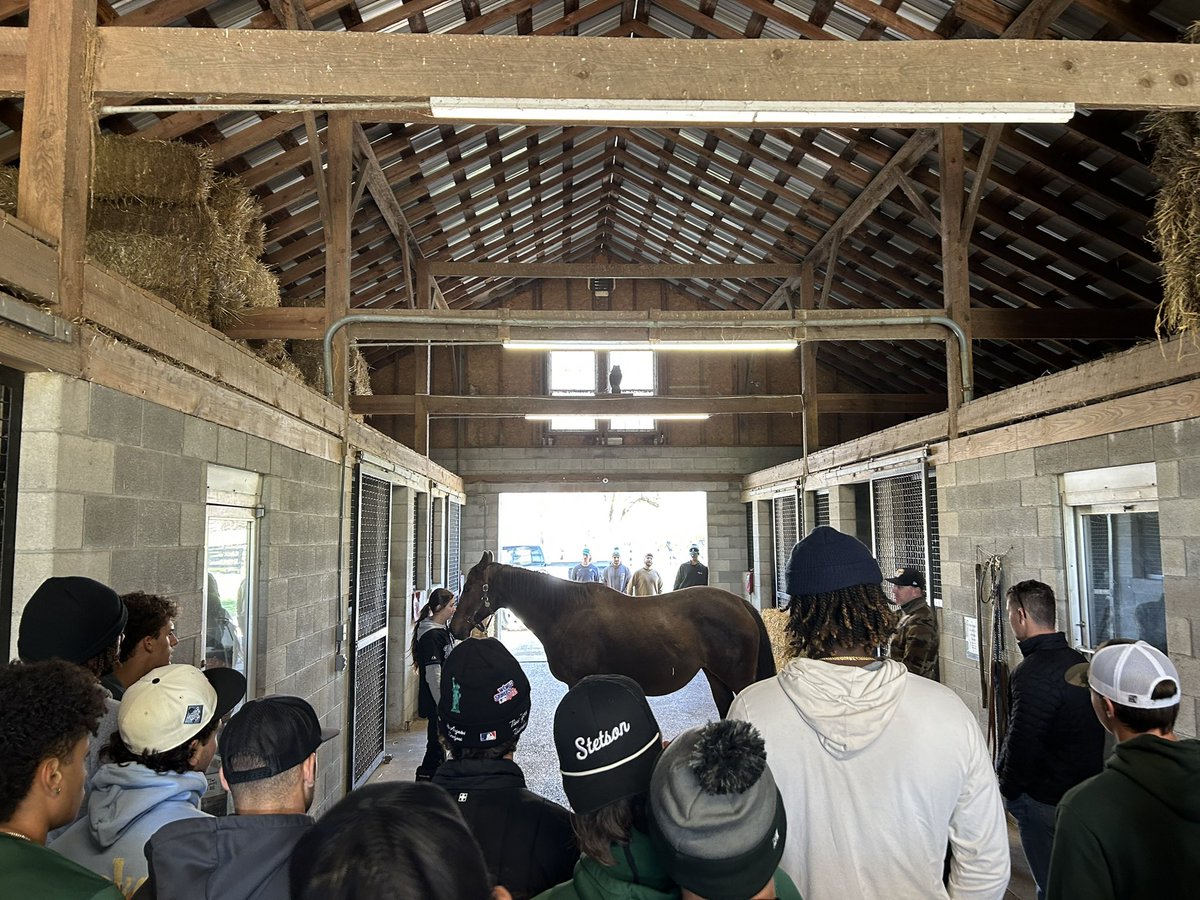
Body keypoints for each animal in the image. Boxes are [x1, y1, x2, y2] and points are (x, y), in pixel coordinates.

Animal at [451, 549, 777, 720]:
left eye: (470, 587)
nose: (455, 628)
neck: (565, 611)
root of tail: (740, 603)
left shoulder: (578, 682)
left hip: (739, 679)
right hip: (716, 678)